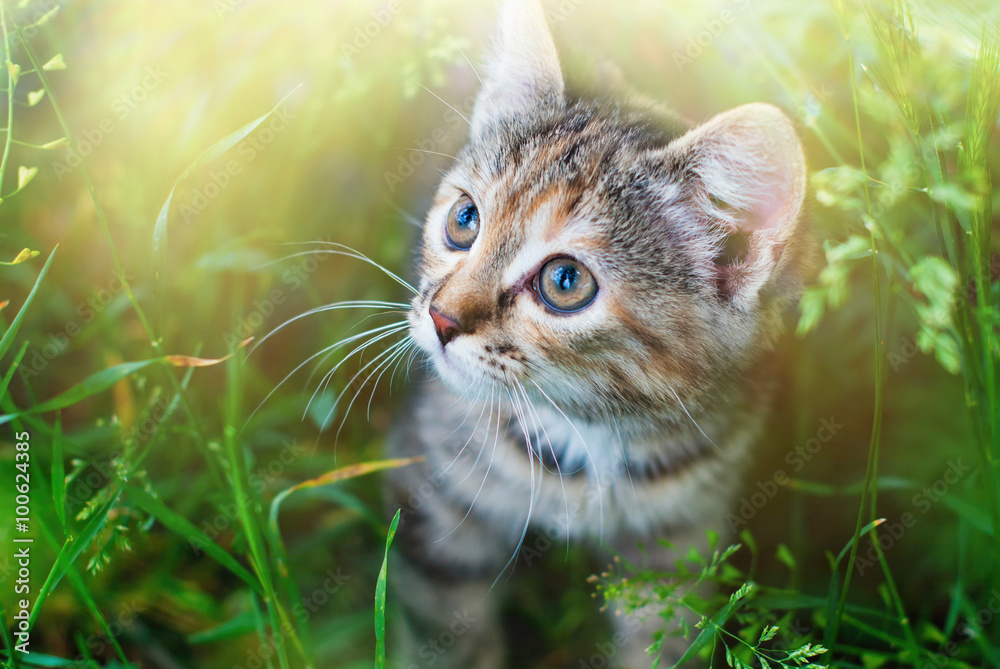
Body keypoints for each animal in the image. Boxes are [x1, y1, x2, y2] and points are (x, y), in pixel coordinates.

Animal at [382, 1, 812, 664]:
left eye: (565, 281)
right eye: (464, 220)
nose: (442, 318)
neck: (589, 436)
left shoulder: (678, 541)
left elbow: (663, 641)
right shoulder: (435, 495)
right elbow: (446, 636)